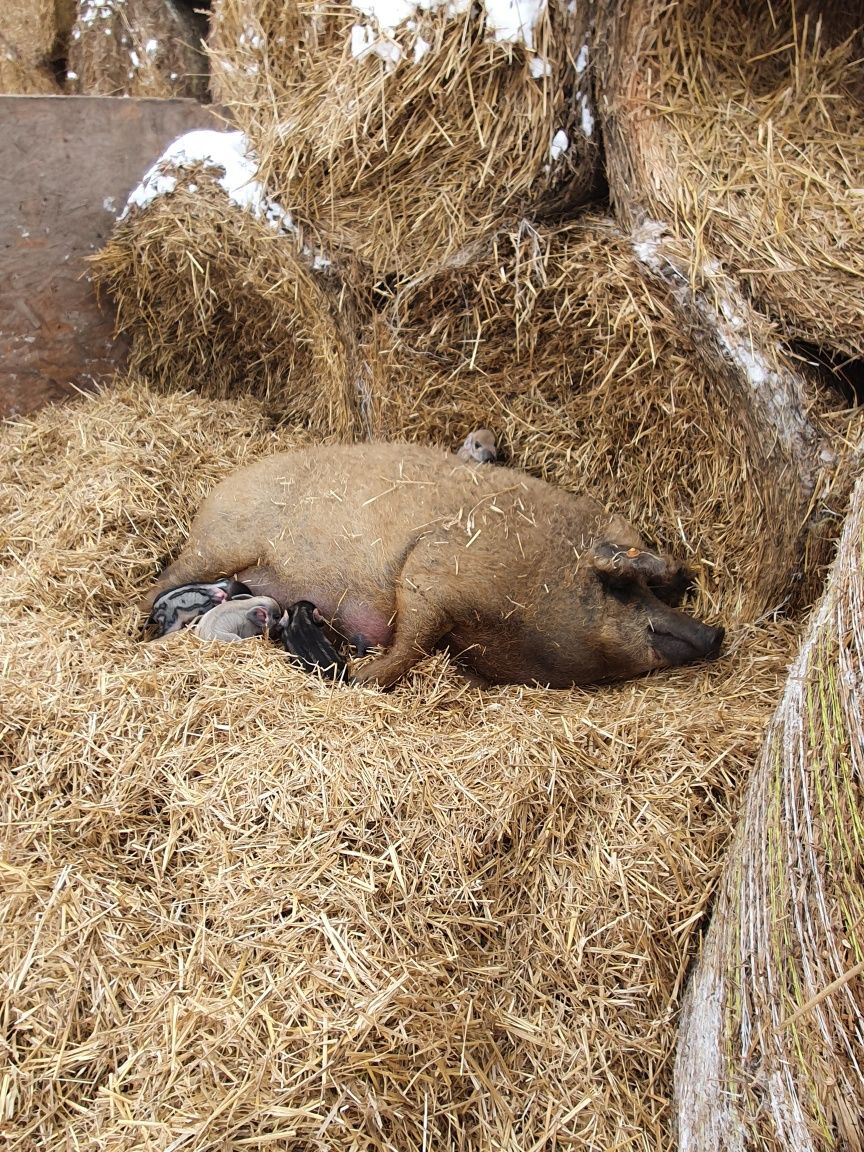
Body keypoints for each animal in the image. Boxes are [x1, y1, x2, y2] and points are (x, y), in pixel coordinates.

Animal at [142, 444, 723, 686]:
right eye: (622, 589)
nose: (715, 633)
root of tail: (215, 491)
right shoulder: (430, 571)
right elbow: (411, 645)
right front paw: (363, 675)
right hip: (219, 545)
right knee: (159, 585)